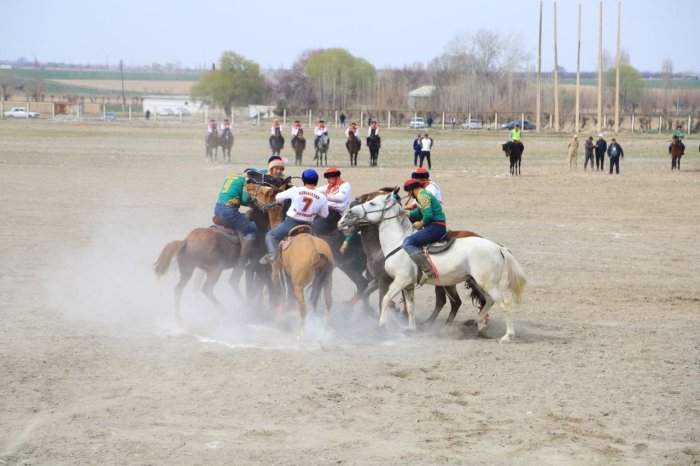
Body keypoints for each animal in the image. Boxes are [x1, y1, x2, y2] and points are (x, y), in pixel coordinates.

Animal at [336, 189, 528, 342]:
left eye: (372, 202)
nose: (348, 215)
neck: (397, 242)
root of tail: (497, 247)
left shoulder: (398, 280)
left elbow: (384, 299)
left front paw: (382, 326)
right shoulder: (407, 284)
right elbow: (410, 306)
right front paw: (410, 329)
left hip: (486, 283)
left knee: (504, 304)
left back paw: (507, 336)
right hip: (477, 282)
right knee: (487, 301)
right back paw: (479, 326)